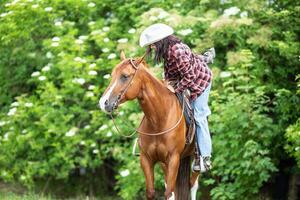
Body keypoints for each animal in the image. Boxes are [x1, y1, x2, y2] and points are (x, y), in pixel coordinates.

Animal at [99, 52, 200, 200]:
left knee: (193, 184)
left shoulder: (173, 159)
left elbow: (169, 193)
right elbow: (152, 192)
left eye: (125, 76)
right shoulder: (146, 159)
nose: (103, 103)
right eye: (112, 75)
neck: (159, 120)